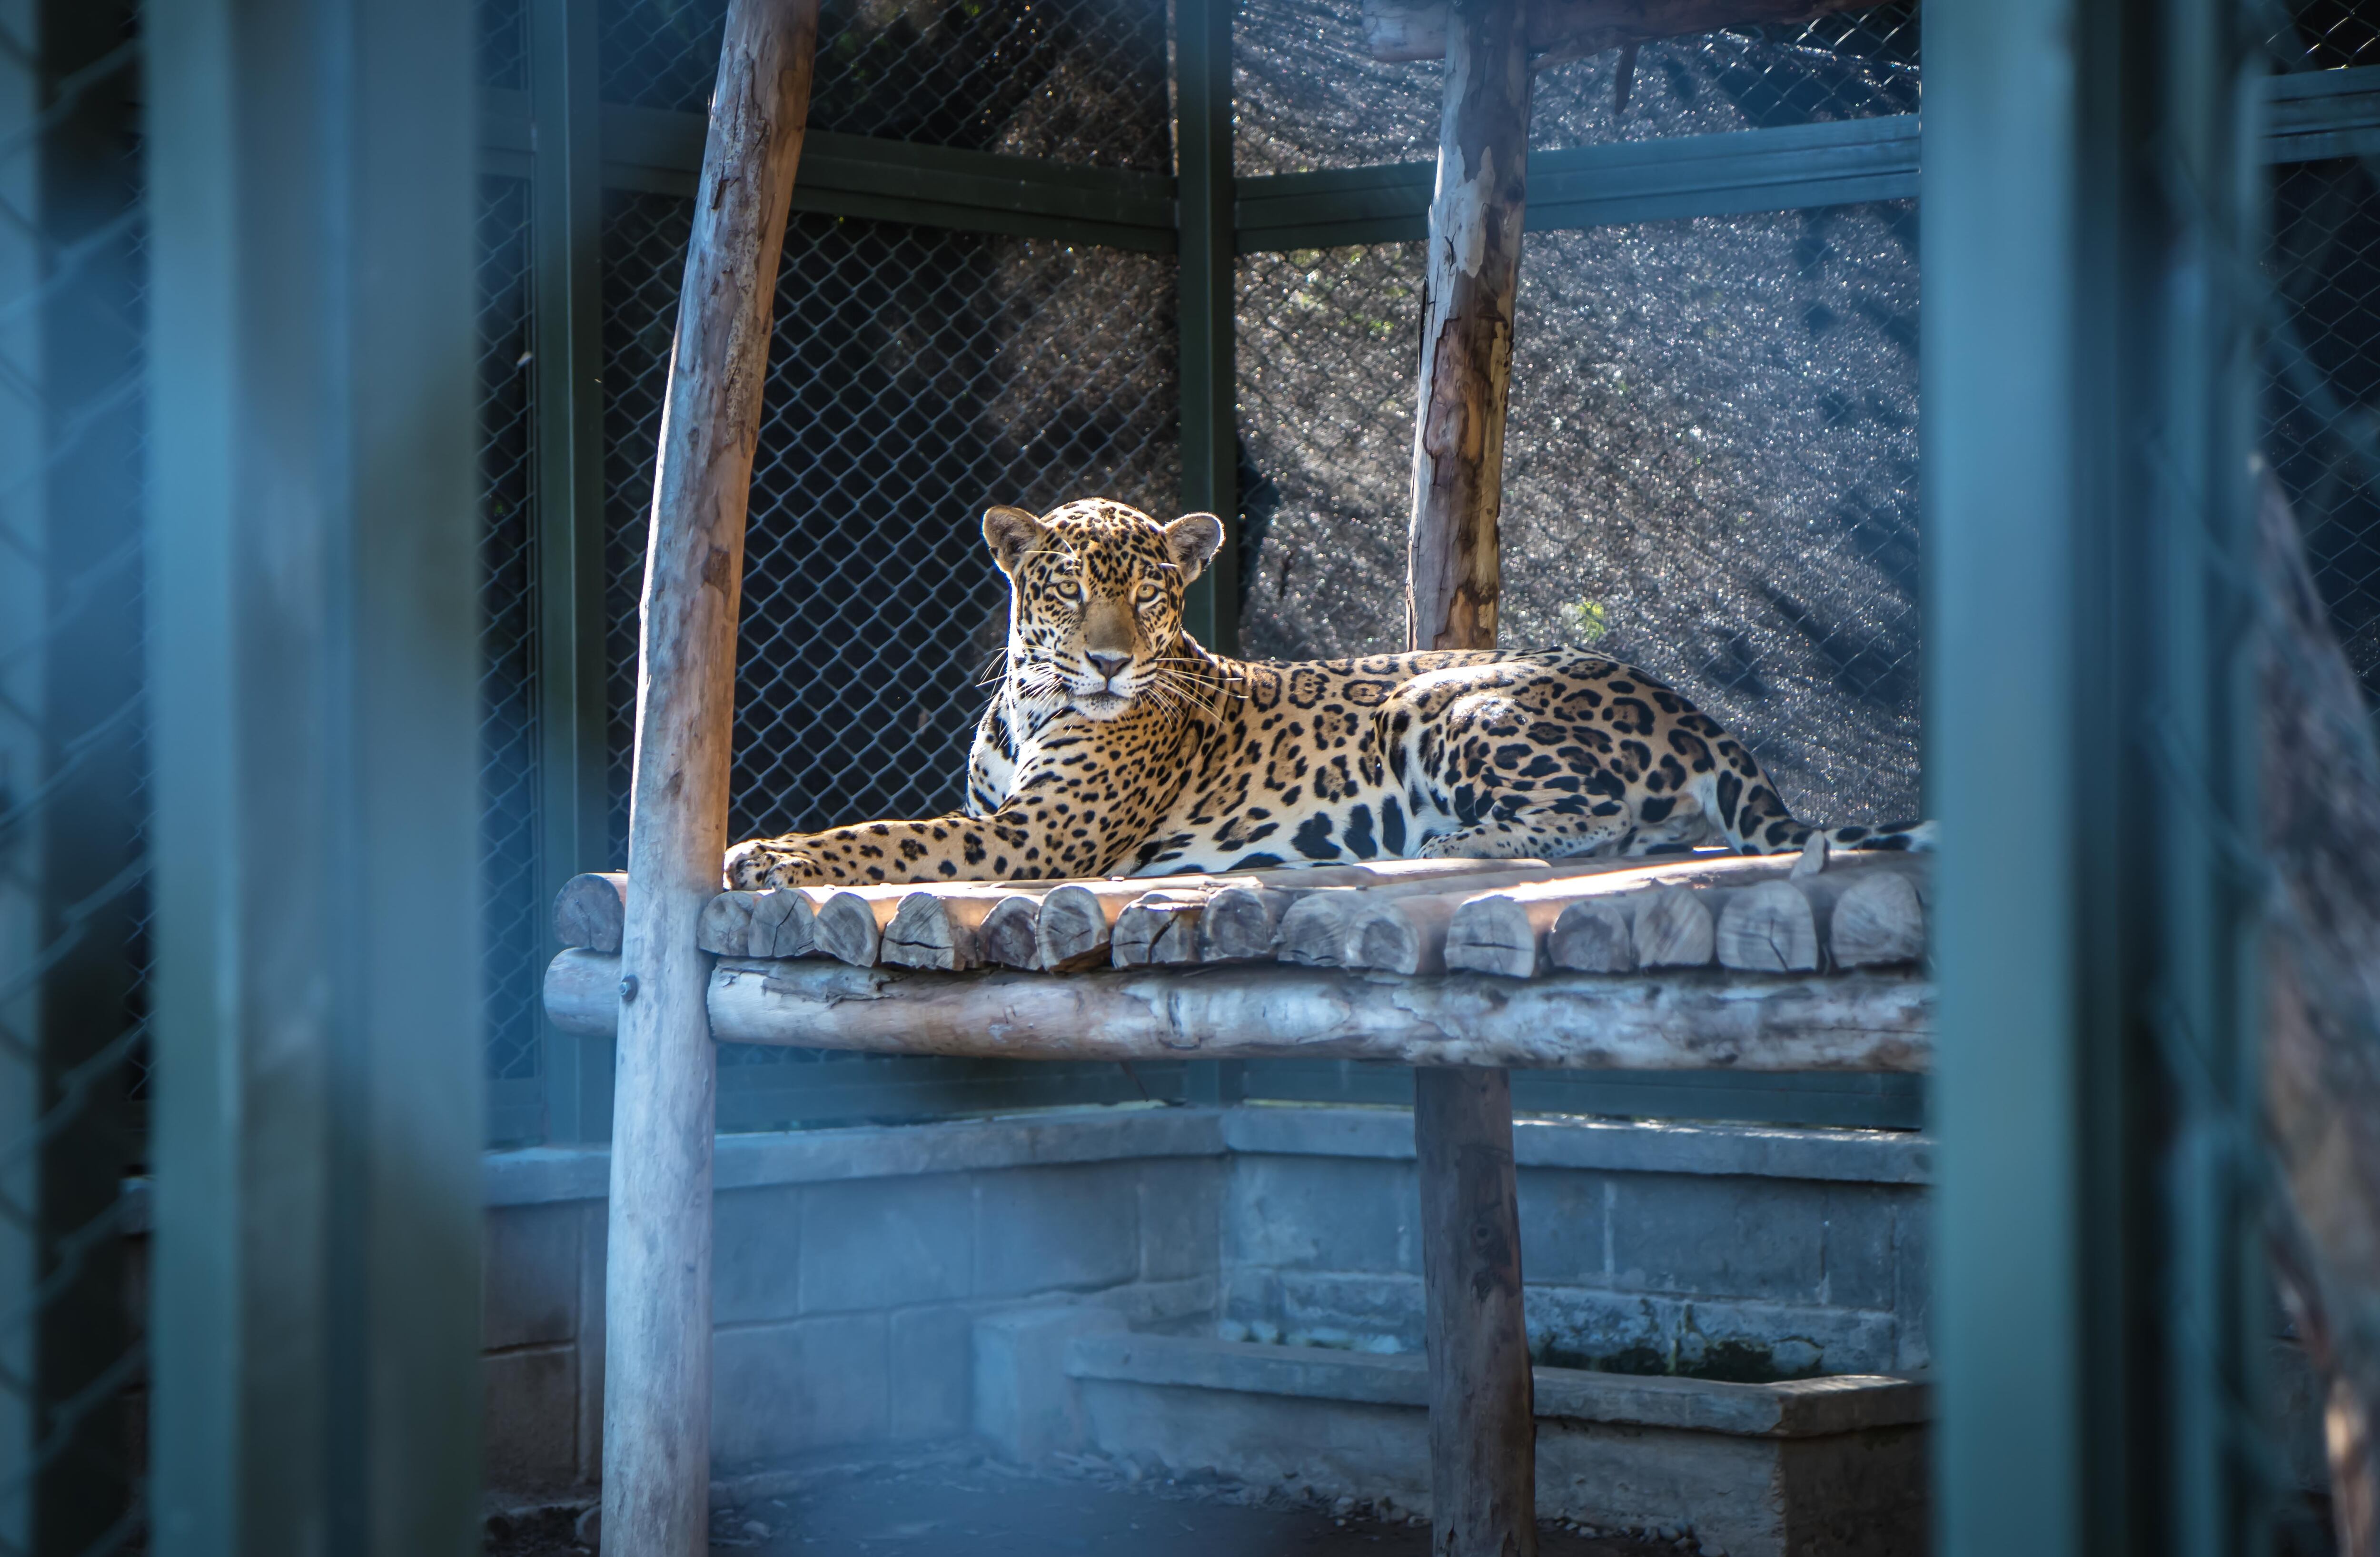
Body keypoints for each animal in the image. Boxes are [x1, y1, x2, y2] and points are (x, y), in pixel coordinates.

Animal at [723, 497, 1930, 890]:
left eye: (1149, 595)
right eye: (1069, 589)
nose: (1108, 663)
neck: (1029, 702)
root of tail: (1687, 706)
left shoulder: (1037, 836)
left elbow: (888, 837)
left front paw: (771, 854)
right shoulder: (1003, 815)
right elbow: (905, 824)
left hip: (1443, 700)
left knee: (1606, 829)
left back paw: (1435, 847)